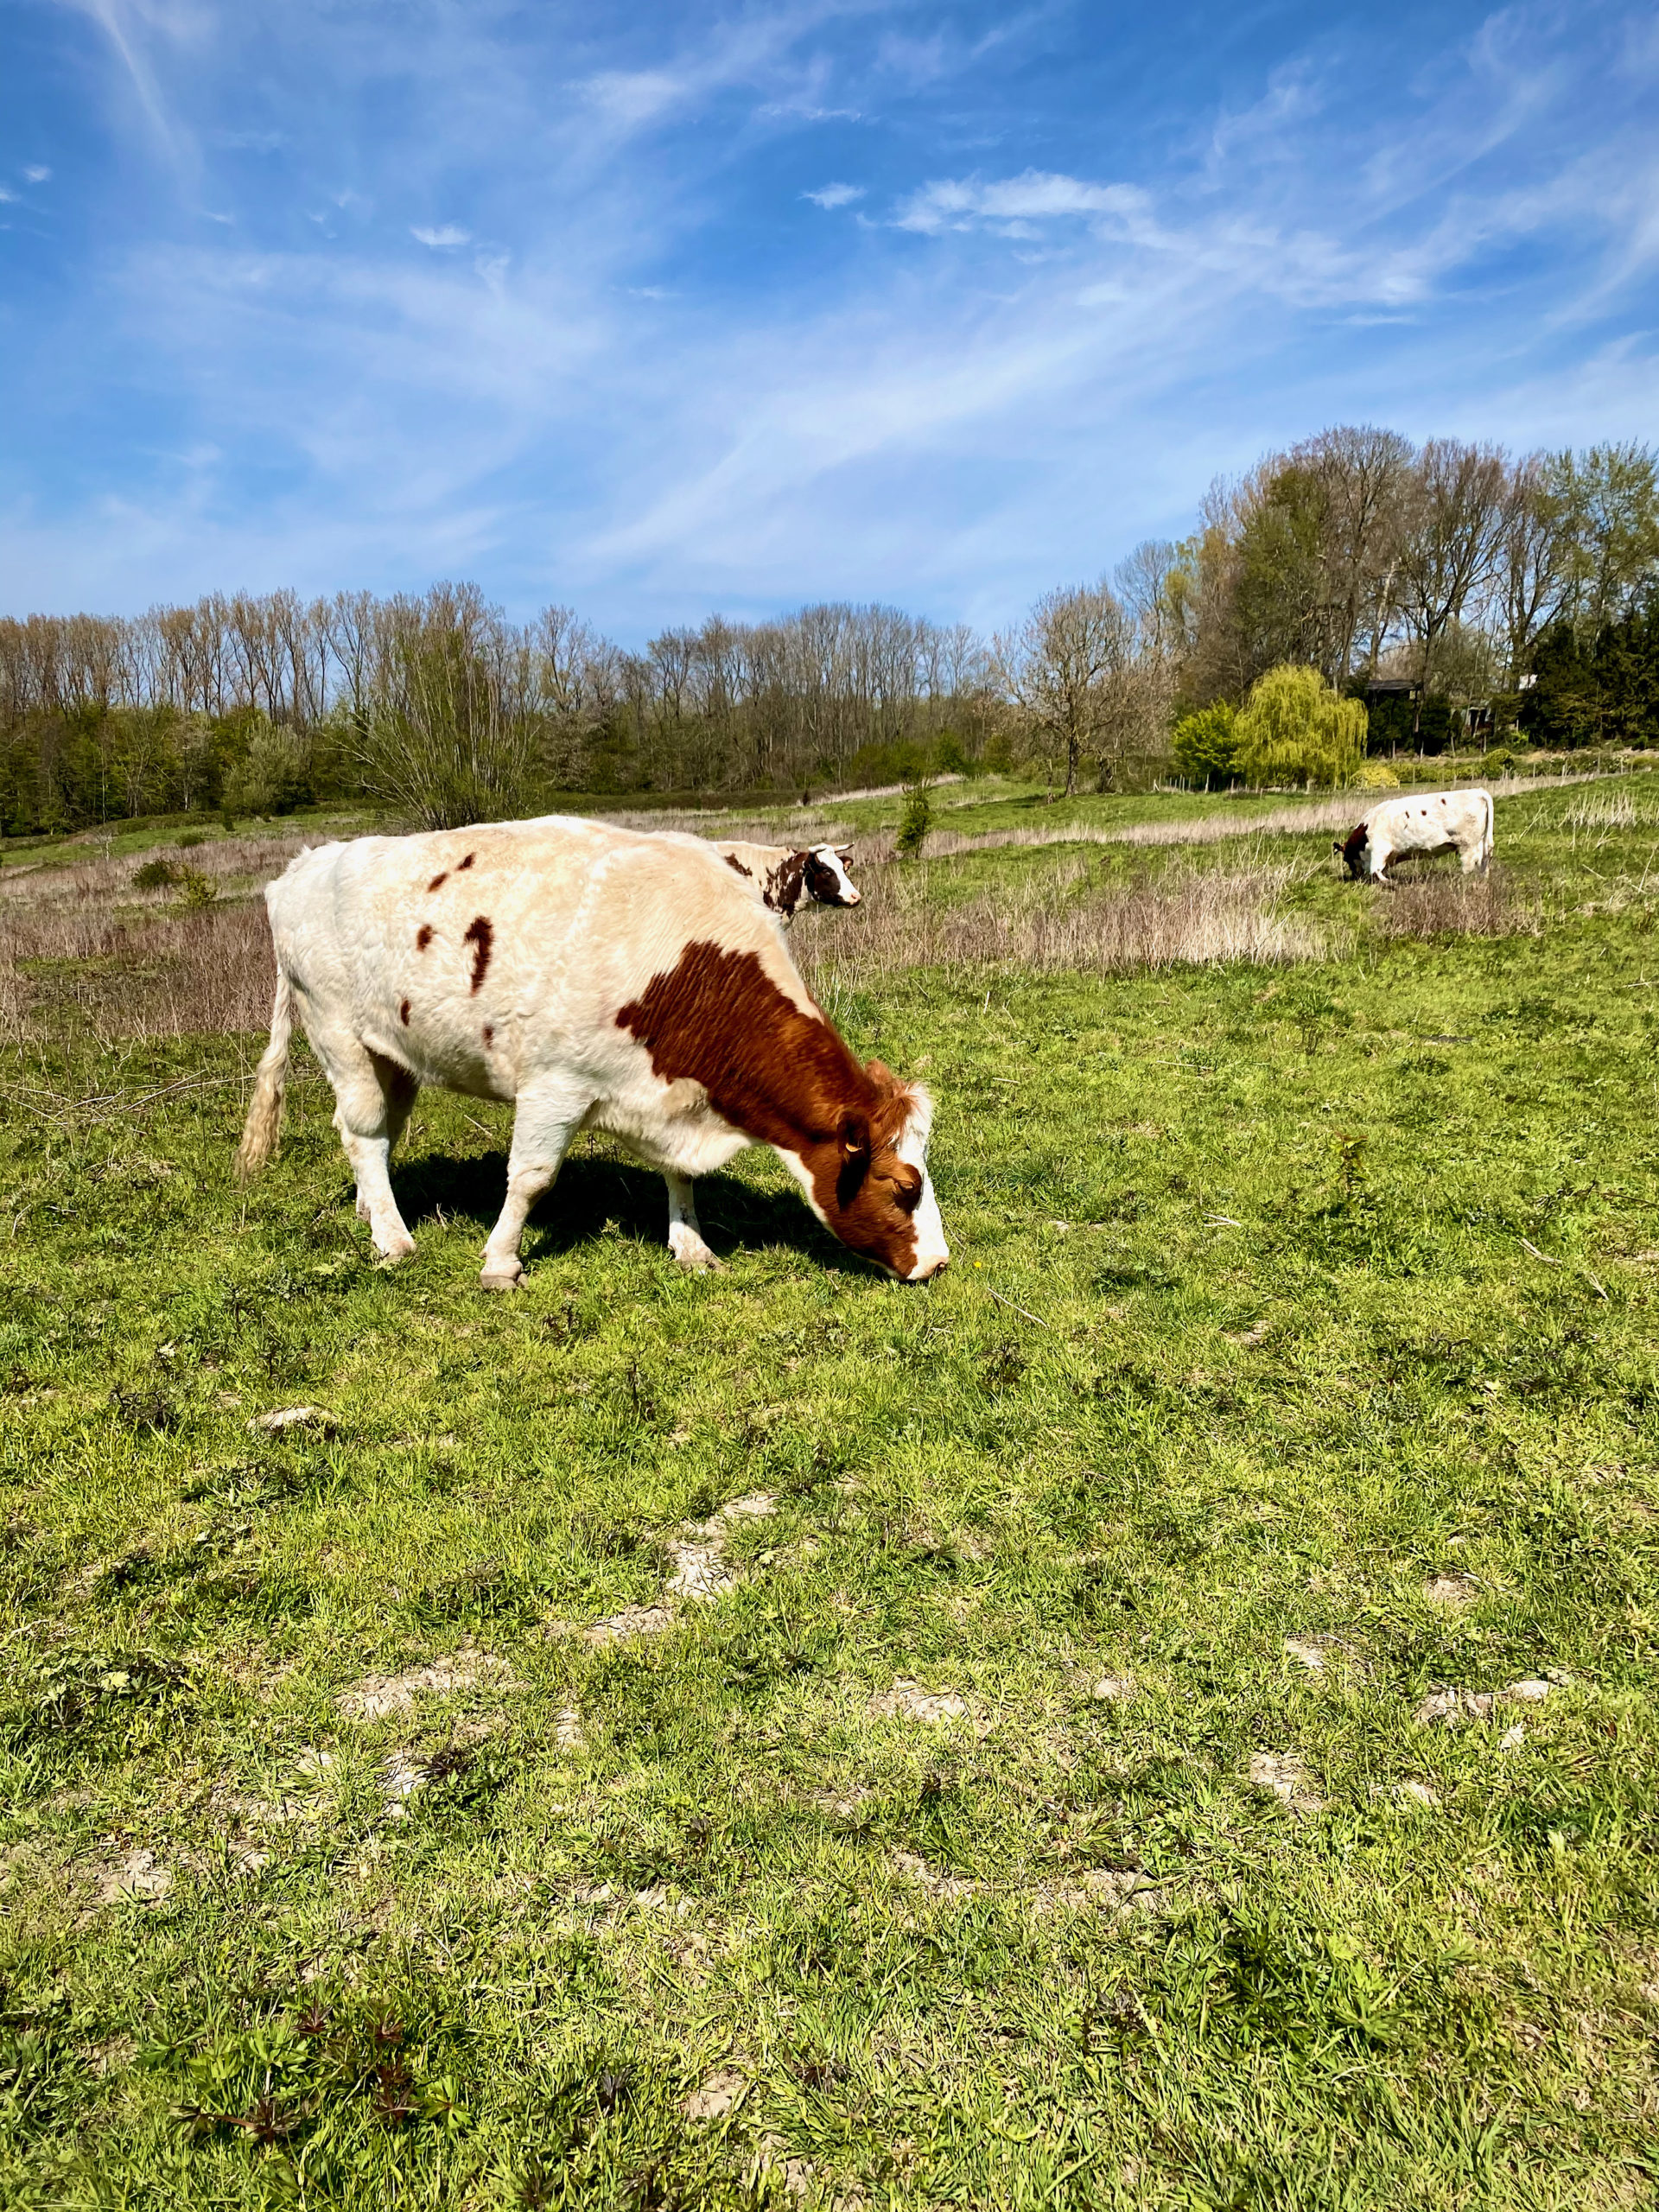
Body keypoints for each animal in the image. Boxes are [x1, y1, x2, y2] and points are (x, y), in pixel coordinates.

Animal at [1336, 783, 1503, 875]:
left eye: (1346, 859)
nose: (1354, 876)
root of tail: (1478, 791)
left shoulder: (1379, 848)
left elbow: (1375, 871)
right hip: (1481, 843)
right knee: (1485, 861)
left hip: (1467, 845)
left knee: (1470, 866)